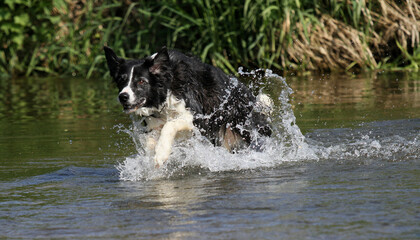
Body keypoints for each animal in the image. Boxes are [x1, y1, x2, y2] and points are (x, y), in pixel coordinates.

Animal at [106, 46, 272, 167]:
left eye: (141, 81)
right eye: (121, 80)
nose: (123, 97)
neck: (167, 87)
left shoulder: (198, 117)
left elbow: (170, 125)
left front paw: (161, 154)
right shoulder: (154, 123)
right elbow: (150, 140)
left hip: (244, 129)